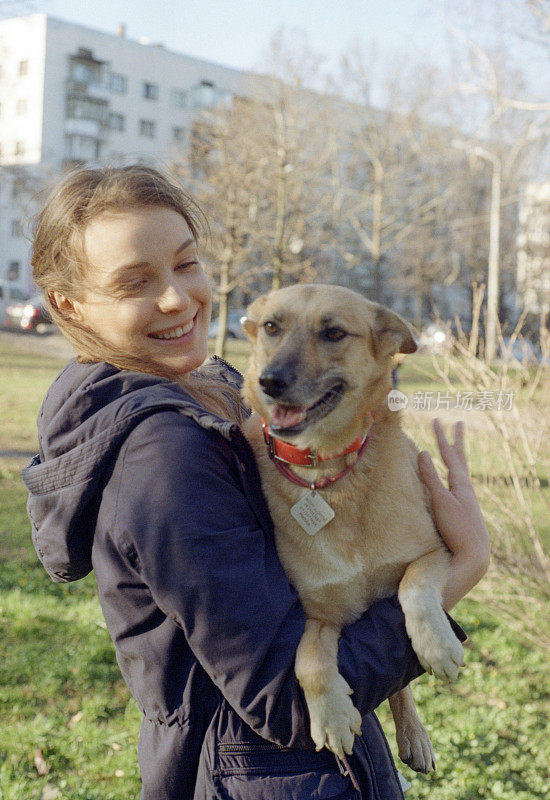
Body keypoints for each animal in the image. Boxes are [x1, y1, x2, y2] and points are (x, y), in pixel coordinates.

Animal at [242, 284, 466, 772]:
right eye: (271, 326)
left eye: (333, 333)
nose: (271, 381)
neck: (326, 471)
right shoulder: (318, 614)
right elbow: (308, 660)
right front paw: (330, 717)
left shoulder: (436, 551)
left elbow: (414, 587)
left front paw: (437, 646)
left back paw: (415, 735)